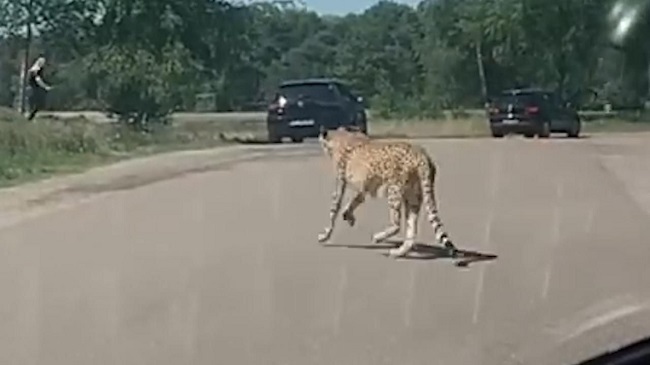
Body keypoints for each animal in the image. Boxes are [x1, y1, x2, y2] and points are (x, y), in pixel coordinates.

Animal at [316, 126, 458, 258]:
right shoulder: (363, 187)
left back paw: (378, 237)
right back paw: (399, 251)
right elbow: (354, 201)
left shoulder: (341, 183)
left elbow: (334, 210)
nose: (320, 139)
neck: (340, 137)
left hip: (394, 191)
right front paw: (348, 216)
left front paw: (325, 235)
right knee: (411, 229)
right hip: (413, 197)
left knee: (396, 224)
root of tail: (422, 154)